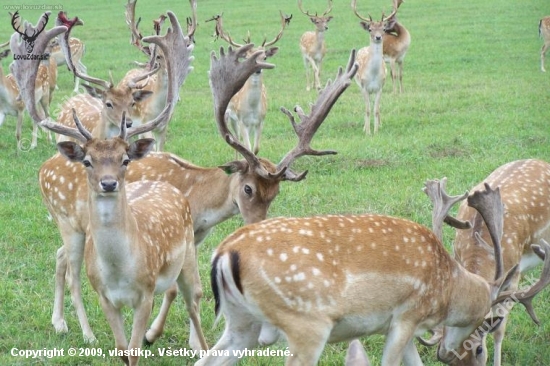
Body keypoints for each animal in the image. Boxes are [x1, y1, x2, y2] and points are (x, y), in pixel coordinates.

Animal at [10, 10, 194, 344]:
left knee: (59, 258)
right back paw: (85, 333)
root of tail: (43, 168)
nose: (108, 183)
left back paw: (59, 322)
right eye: (87, 161)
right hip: (67, 222)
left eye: (125, 159)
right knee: (71, 272)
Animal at [208, 9, 294, 156]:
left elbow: (256, 148)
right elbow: (247, 147)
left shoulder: (261, 121)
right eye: (247, 57)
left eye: (264, 57)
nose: (258, 69)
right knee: (236, 139)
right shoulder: (242, 121)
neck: (252, 108)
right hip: (230, 116)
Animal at [352, 0, 394, 135]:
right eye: (370, 29)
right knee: (367, 106)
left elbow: (376, 109)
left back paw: (380, 125)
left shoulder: (379, 88)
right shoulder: (364, 87)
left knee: (376, 107)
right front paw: (367, 132)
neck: (373, 74)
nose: (378, 37)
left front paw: (376, 131)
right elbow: (367, 109)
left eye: (384, 28)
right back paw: (364, 127)